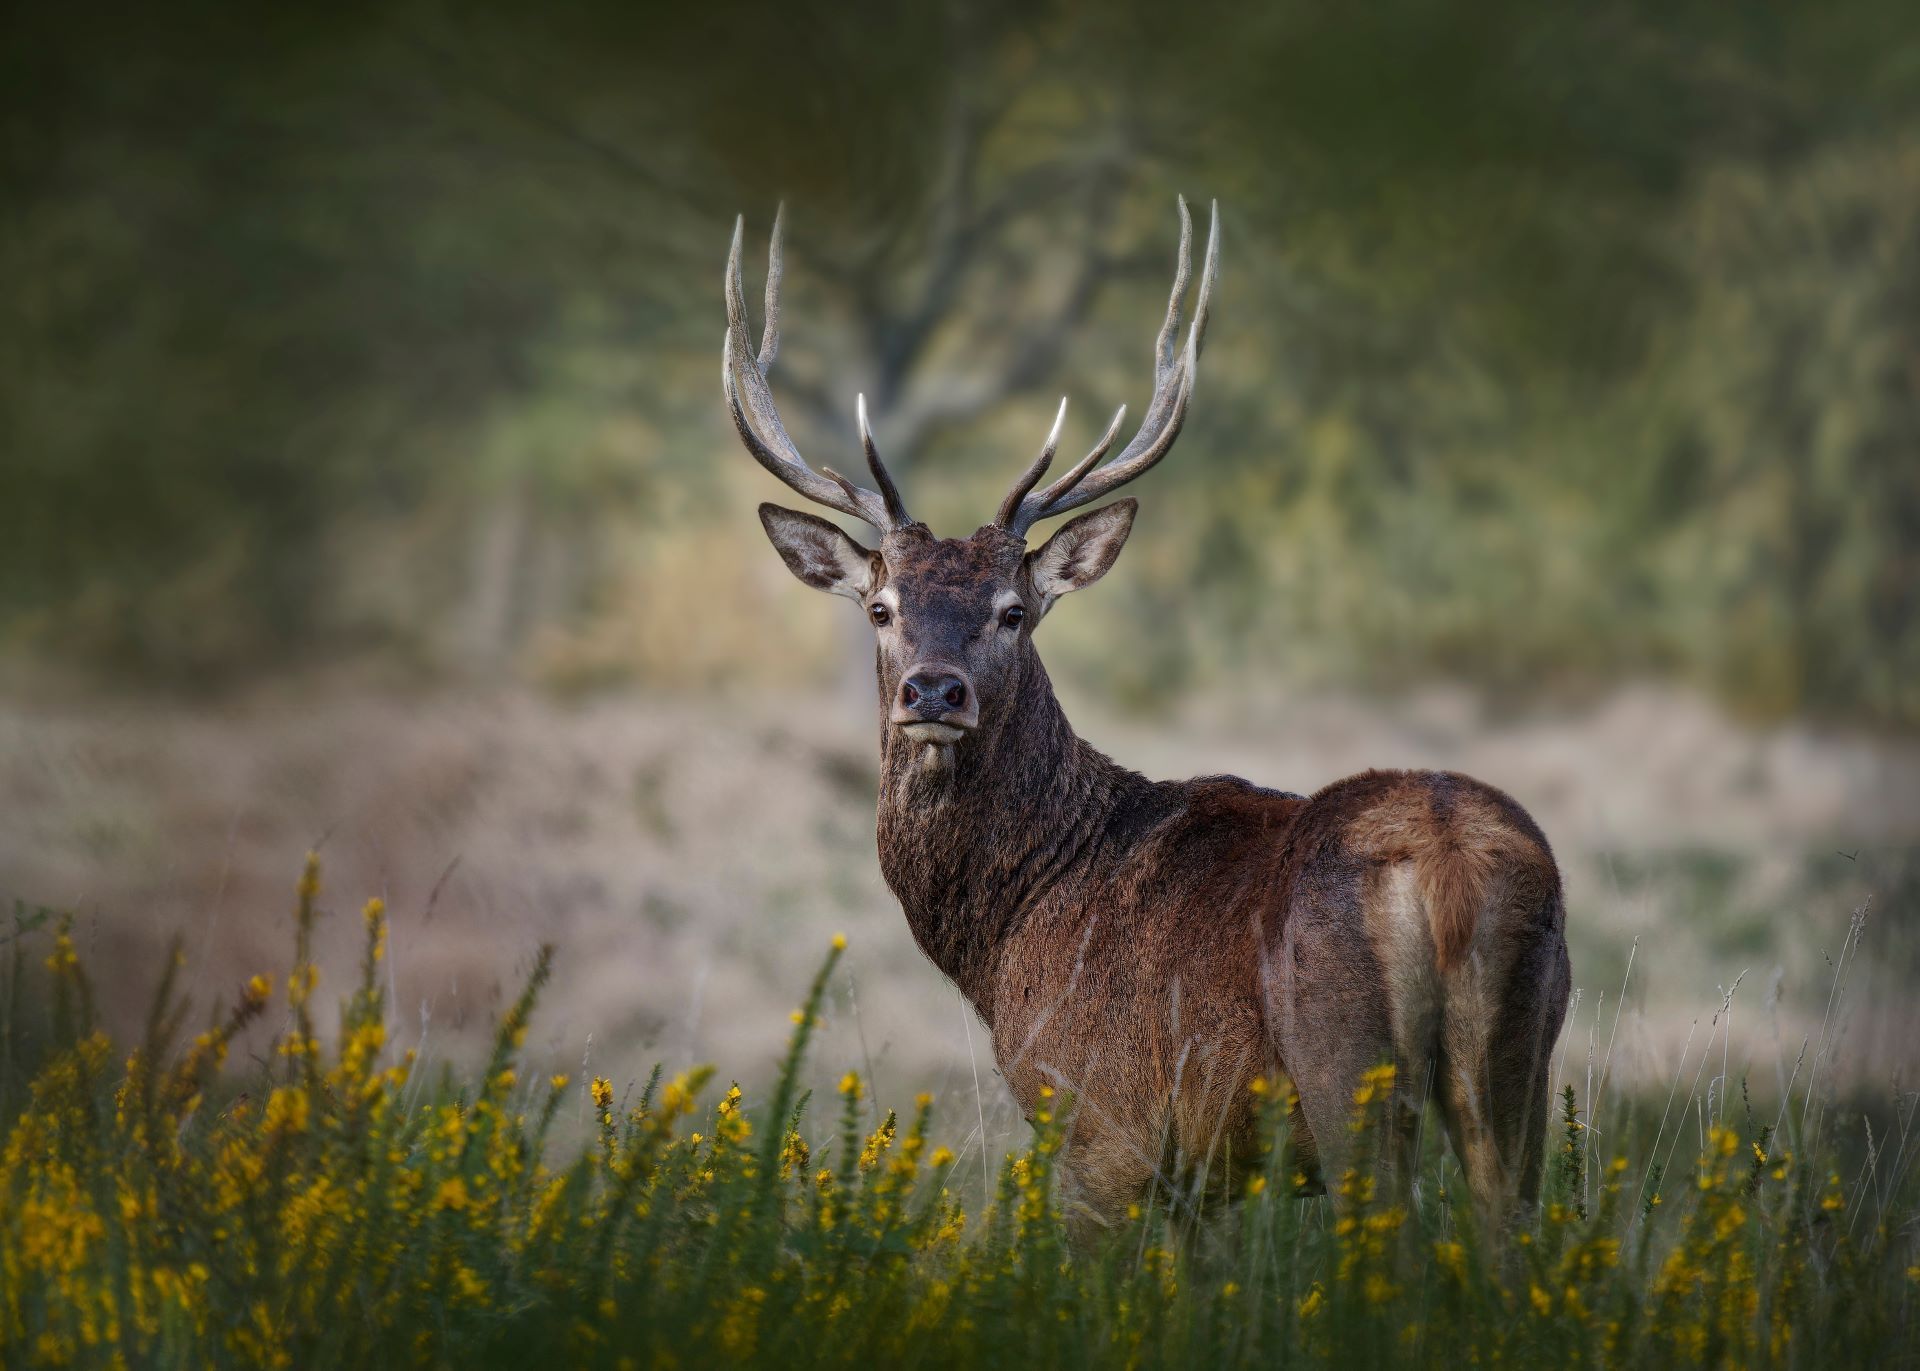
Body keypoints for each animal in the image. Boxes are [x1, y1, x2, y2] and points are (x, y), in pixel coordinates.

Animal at [722, 198, 1572, 1242]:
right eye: (880, 606)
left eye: (1013, 608)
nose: (933, 691)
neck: (1010, 929)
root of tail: (1448, 861)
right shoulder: (1199, 1174)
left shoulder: (1102, 1127)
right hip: (1522, 1060)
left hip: (1349, 1068)